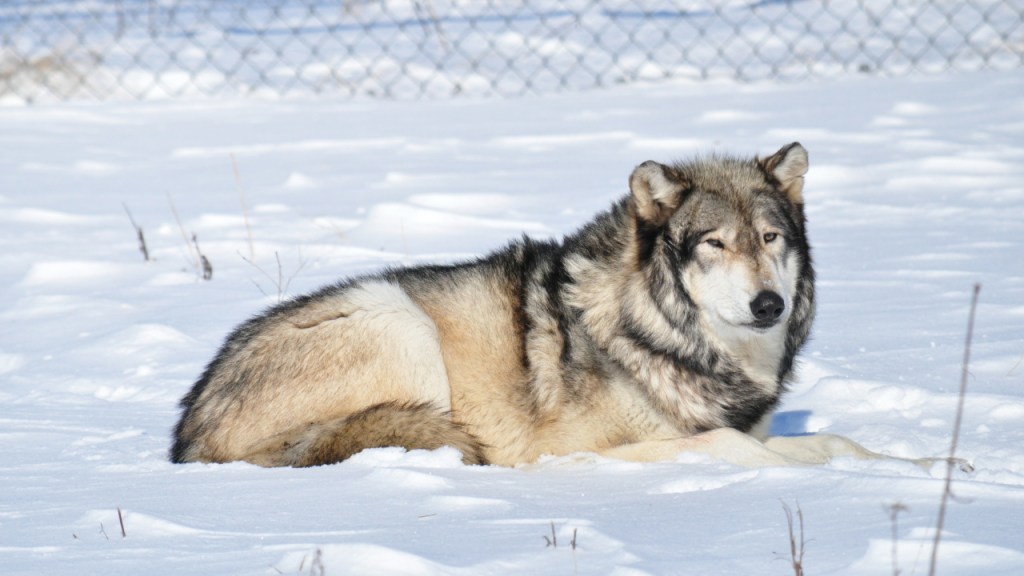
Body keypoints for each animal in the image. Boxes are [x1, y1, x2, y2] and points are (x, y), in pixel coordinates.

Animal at [171, 143, 949, 470]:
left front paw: (927, 467)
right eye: (714, 245)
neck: (658, 334)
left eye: (769, 238)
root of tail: (186, 435)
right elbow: (742, 450)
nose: (769, 303)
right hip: (398, 320)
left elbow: (835, 443)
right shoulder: (580, 449)